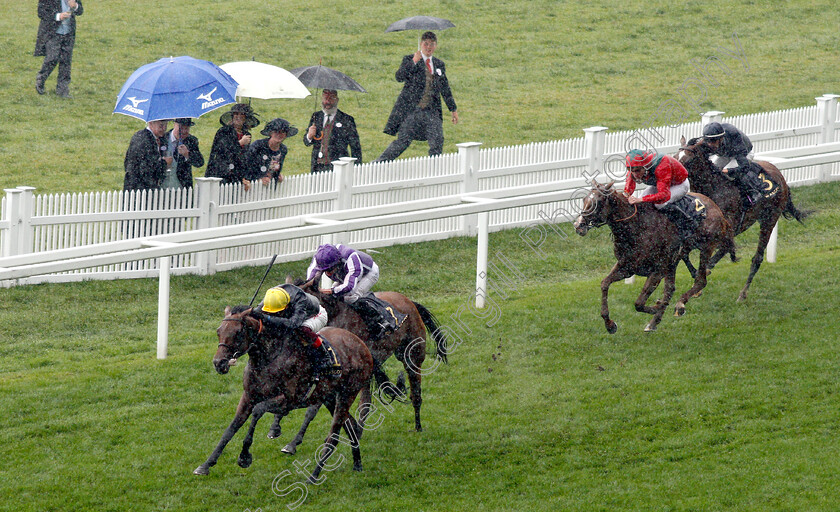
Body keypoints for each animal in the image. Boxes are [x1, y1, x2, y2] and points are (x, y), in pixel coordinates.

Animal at [195, 306, 372, 482]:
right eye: (218, 331)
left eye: (238, 332)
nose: (219, 363)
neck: (268, 358)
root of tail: (362, 345)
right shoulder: (248, 396)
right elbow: (231, 428)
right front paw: (206, 465)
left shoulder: (290, 399)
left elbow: (258, 410)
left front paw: (245, 456)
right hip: (329, 396)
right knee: (349, 425)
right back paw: (357, 463)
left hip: (347, 393)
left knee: (334, 435)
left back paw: (314, 475)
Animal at [270, 276, 452, 452]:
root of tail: (409, 301)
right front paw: (279, 428)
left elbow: (312, 408)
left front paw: (293, 442)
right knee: (366, 402)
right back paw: (358, 430)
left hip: (411, 356)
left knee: (415, 393)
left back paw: (417, 426)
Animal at [572, 182, 736, 334]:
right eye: (584, 199)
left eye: (598, 203)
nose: (578, 225)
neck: (637, 227)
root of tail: (717, 209)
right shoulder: (626, 267)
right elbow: (604, 284)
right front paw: (610, 324)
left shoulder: (657, 270)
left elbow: (639, 303)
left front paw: (657, 307)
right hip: (675, 260)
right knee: (671, 288)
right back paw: (656, 320)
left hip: (706, 247)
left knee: (700, 280)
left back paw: (679, 304)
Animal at [680, 138, 812, 302]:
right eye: (676, 156)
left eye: (688, 159)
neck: (715, 191)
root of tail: (780, 176)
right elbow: (684, 254)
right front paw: (696, 281)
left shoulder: (726, 231)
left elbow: (720, 252)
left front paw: (702, 276)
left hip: (770, 219)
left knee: (757, 258)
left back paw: (743, 293)